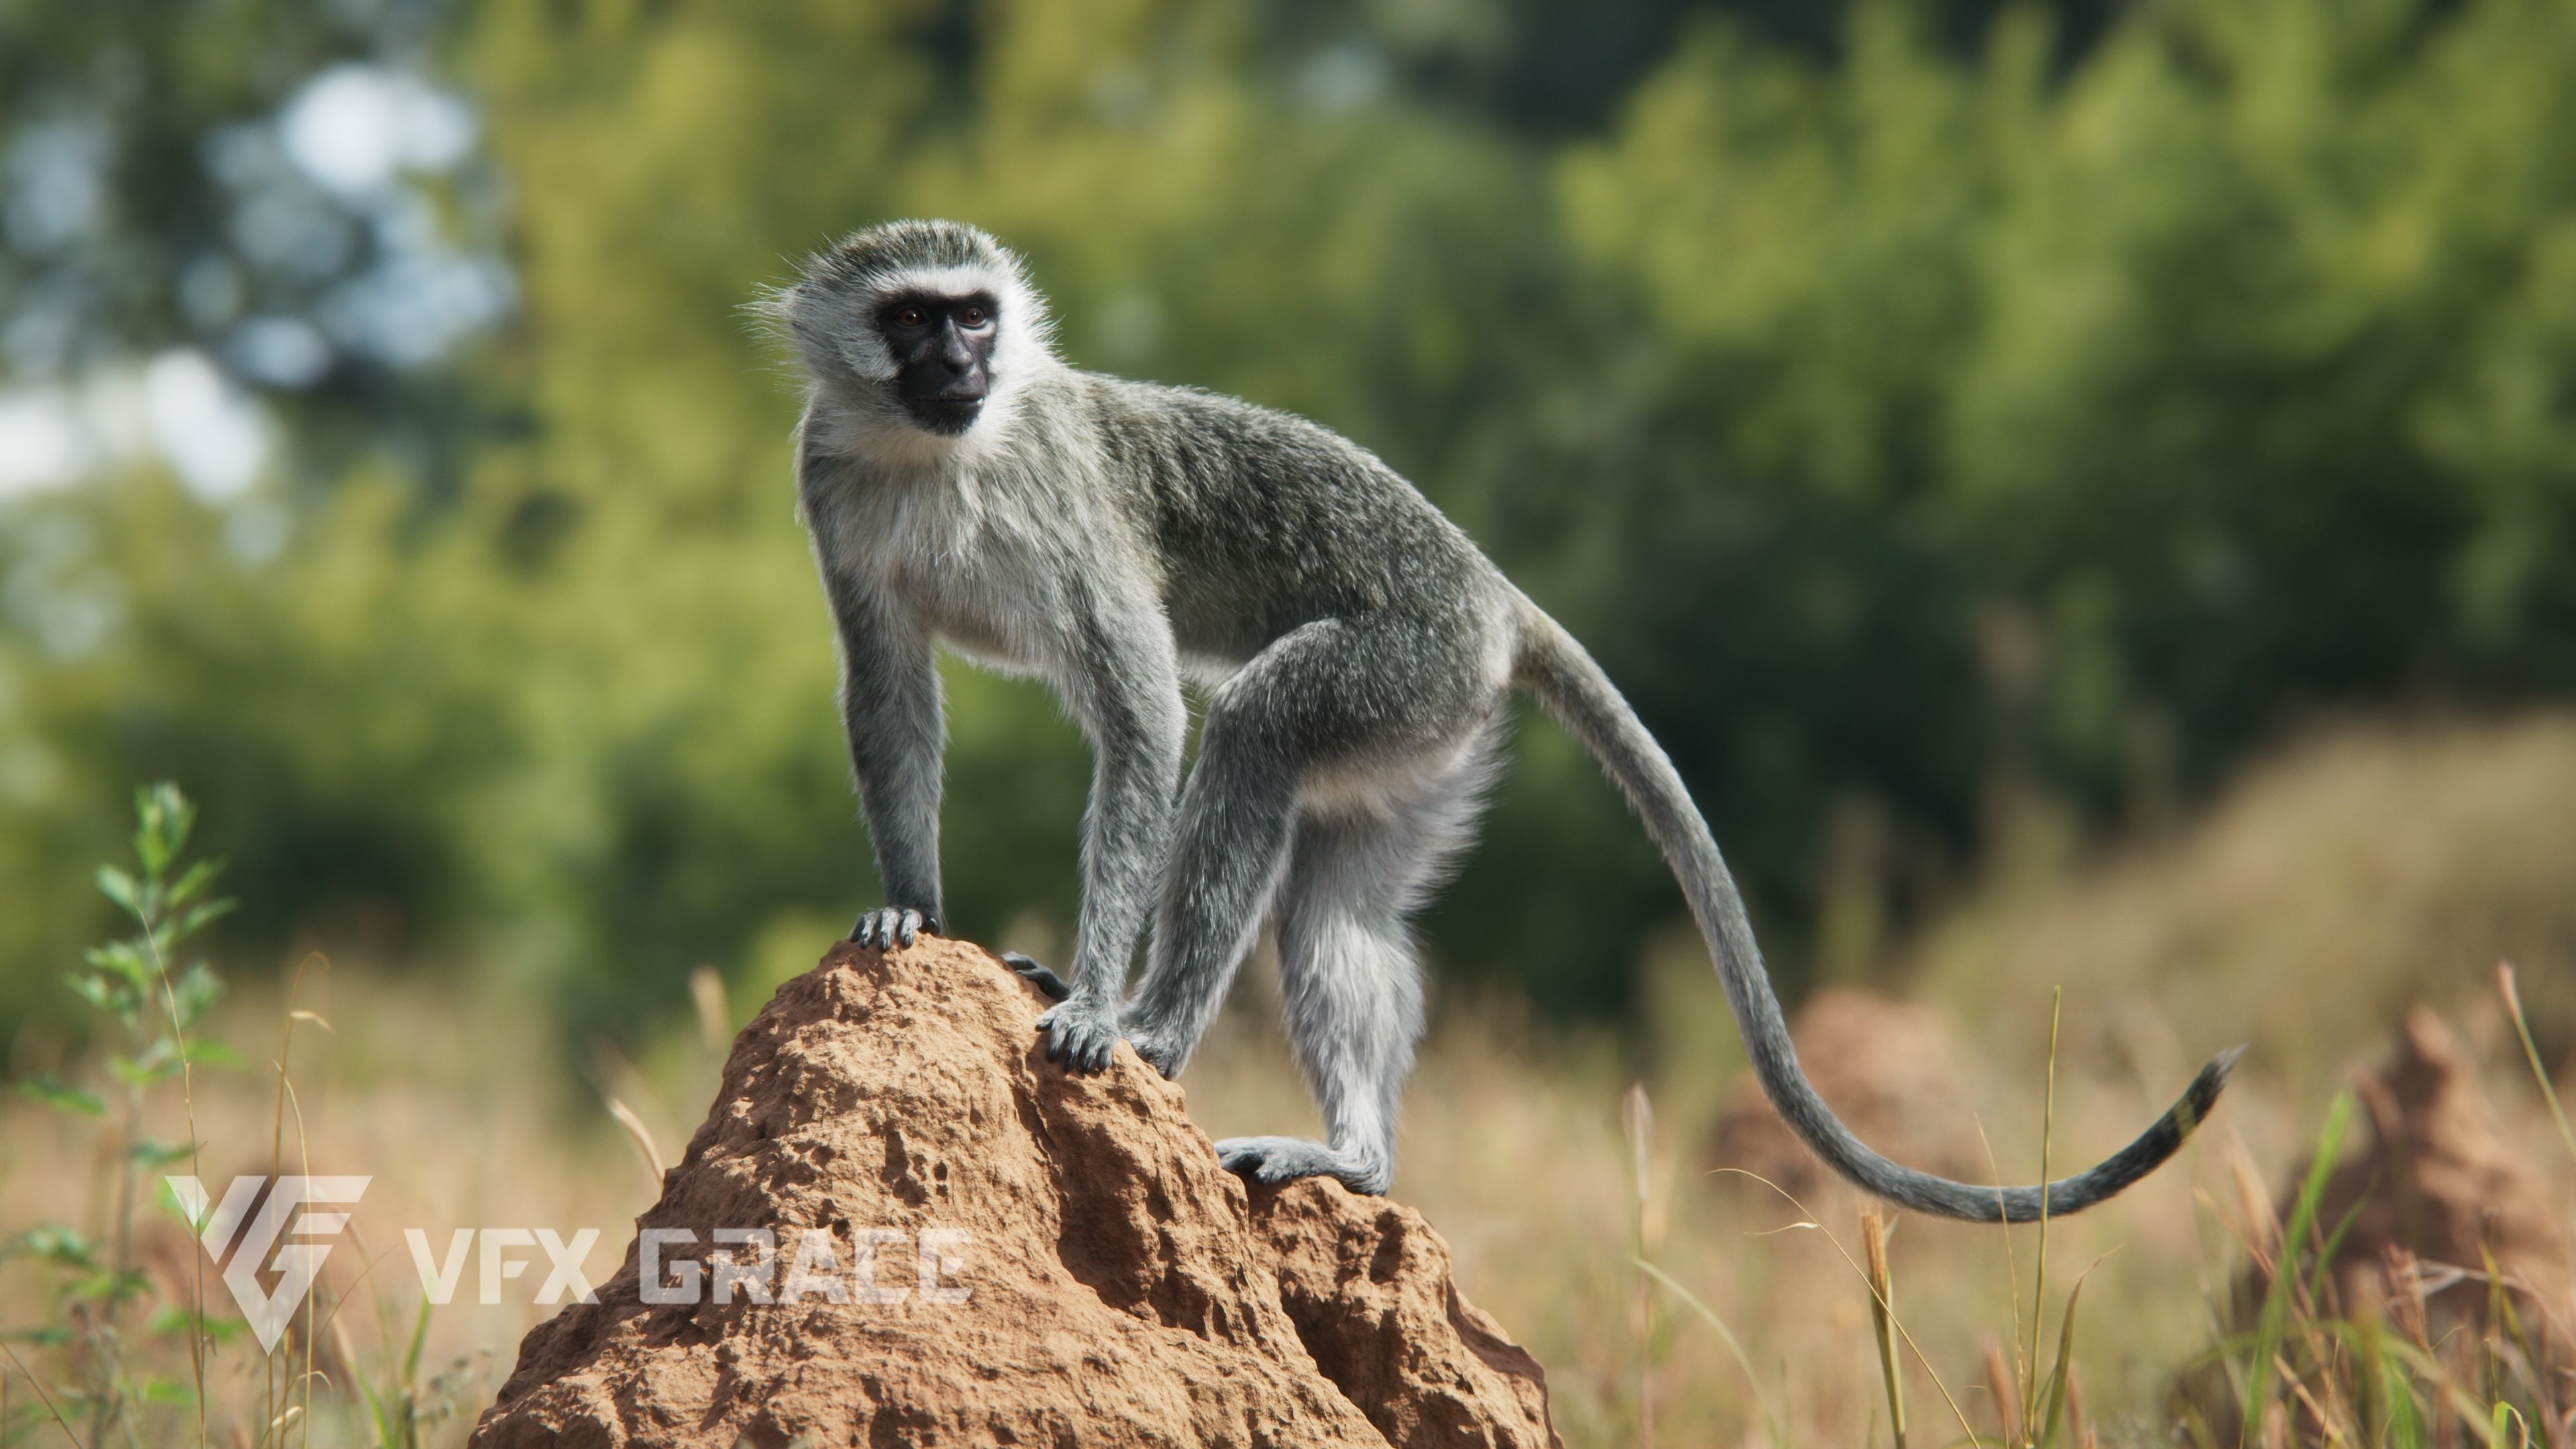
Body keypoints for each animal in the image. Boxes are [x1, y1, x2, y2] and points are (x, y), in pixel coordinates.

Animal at [770, 218, 2236, 1217]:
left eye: (974, 317)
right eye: (915, 321)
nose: (965, 360)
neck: (939, 455)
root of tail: (1492, 591)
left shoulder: (1059, 489)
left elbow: (1138, 705)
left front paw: (1089, 1000)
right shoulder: (827, 475)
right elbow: (888, 687)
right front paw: (913, 908)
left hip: (1404, 666)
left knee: (1251, 729)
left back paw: (1161, 1034)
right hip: (1431, 733)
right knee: (1342, 906)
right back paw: (1357, 1158)